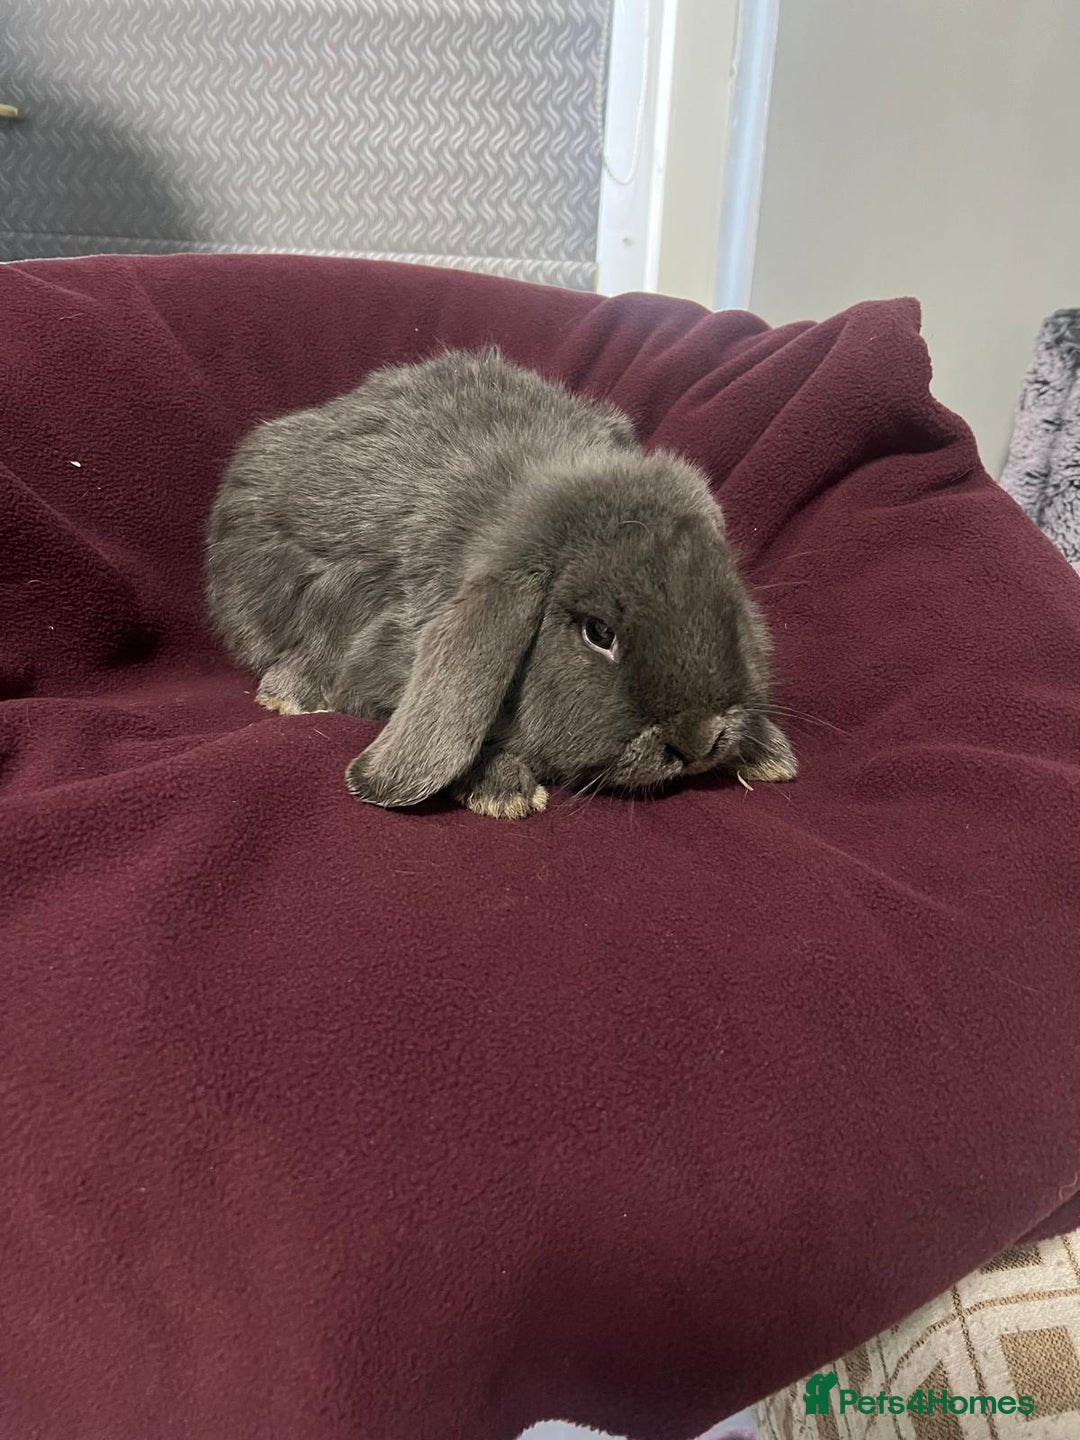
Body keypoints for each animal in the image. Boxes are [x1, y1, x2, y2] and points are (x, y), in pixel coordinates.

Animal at [206, 349, 796, 819]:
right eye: (599, 633)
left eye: (729, 603)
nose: (699, 739)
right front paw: (504, 791)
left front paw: (767, 754)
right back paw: (291, 693)